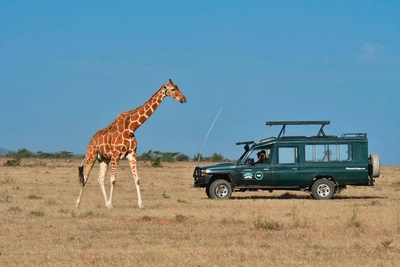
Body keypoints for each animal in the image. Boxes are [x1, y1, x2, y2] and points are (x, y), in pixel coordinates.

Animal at [76, 79, 187, 209]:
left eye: (178, 87)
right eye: (173, 89)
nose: (184, 99)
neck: (131, 127)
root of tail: (91, 140)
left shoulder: (132, 154)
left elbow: (137, 179)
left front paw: (140, 204)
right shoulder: (116, 155)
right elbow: (113, 179)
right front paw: (112, 204)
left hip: (103, 159)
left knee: (100, 179)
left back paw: (105, 203)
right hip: (91, 156)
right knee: (85, 177)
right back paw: (78, 203)